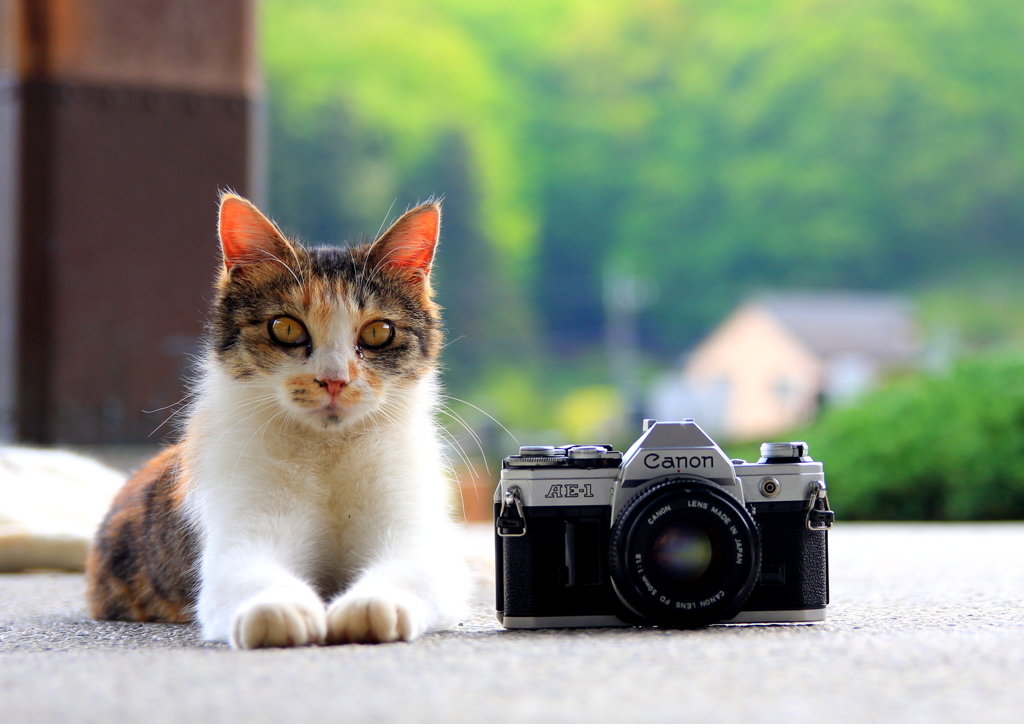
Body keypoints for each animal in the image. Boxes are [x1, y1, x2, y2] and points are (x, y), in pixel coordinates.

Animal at [86, 193, 468, 651]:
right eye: (284, 328)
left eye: (379, 332)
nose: (335, 380)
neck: (327, 452)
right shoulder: (239, 531)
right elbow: (250, 571)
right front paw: (277, 609)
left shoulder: (418, 541)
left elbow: (406, 569)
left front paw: (371, 606)